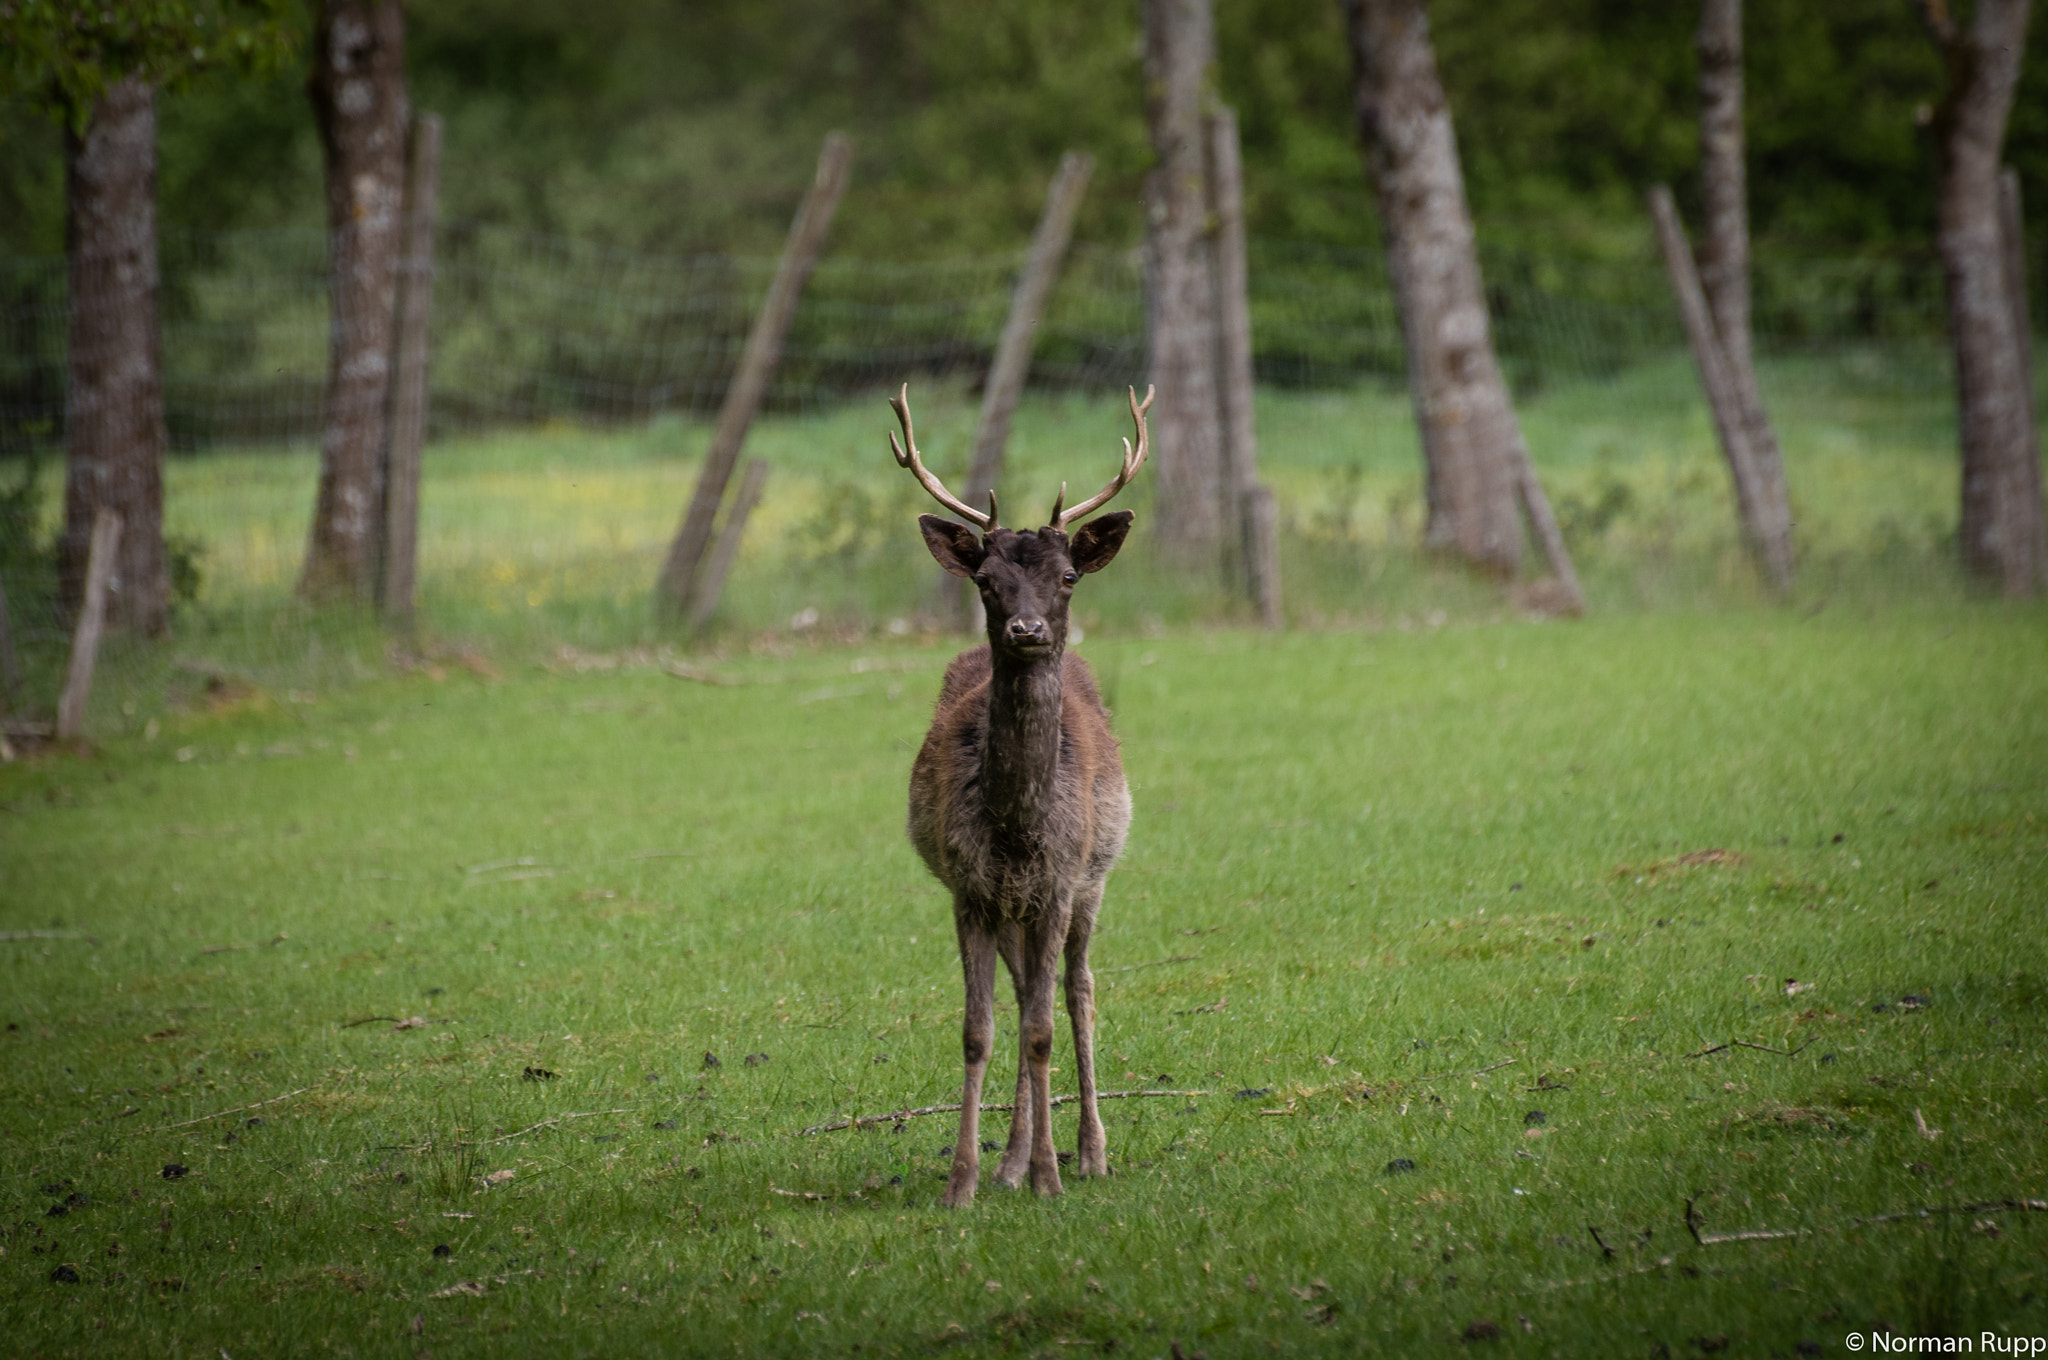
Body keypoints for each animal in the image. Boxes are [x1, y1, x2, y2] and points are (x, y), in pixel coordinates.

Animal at [892, 385, 1155, 1212]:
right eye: (986, 581)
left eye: (1068, 577)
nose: (1027, 627)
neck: (1017, 829)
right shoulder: (970, 889)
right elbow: (980, 1030)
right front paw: (966, 1182)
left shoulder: (1060, 882)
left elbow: (1042, 1027)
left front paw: (1050, 1177)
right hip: (1015, 909)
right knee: (1021, 997)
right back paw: (1010, 1160)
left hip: (1093, 883)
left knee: (1077, 992)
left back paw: (1089, 1151)